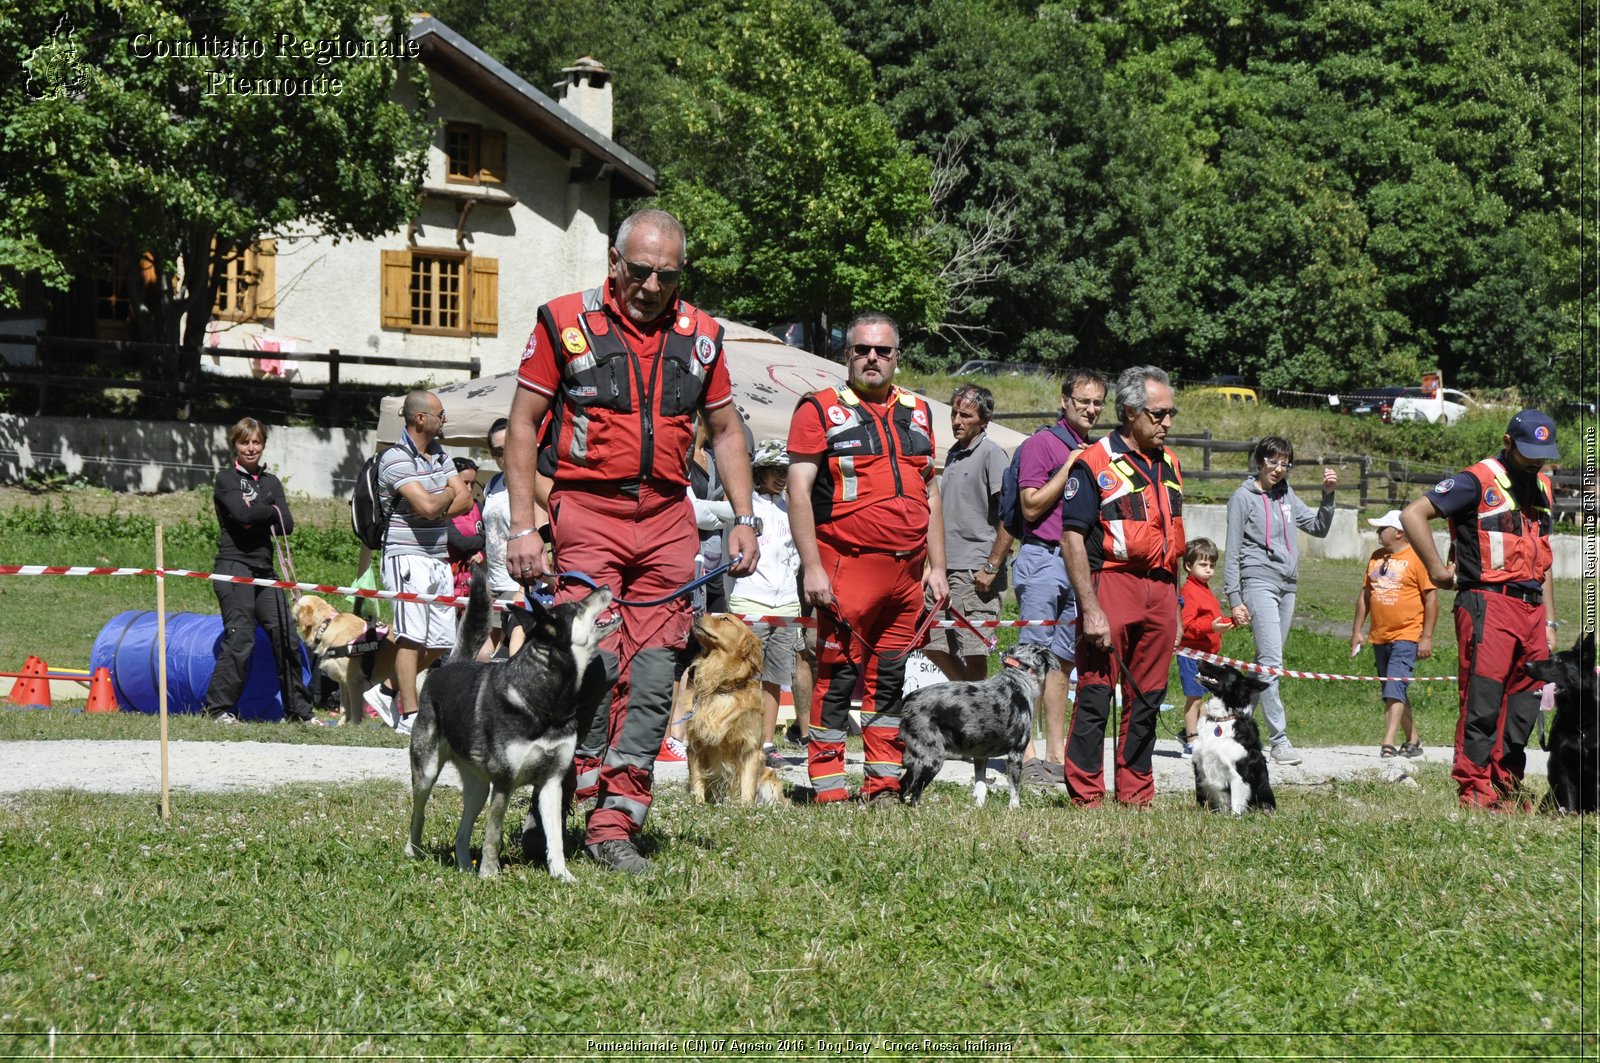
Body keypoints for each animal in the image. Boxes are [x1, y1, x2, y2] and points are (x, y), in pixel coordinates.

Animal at [296, 592, 406, 726]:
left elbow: (355, 707)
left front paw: (355, 725)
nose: (291, 600)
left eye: (296, 602)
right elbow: (344, 707)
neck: (327, 625)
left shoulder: (354, 680)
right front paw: (341, 724)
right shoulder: (343, 680)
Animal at [403, 573, 614, 877]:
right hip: (427, 772)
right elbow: (493, 834)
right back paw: (413, 851)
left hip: (479, 789)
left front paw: (562, 875)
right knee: (417, 813)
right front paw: (490, 874)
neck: (543, 702)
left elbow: (555, 838)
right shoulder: (504, 782)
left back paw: (465, 867)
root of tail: (449, 664)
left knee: (461, 832)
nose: (606, 587)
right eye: (578, 606)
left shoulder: (552, 783)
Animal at [688, 614, 780, 806]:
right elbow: (697, 779)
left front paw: (745, 808)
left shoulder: (750, 748)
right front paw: (698, 804)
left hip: (770, 780)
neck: (722, 687)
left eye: (725, 619)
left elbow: (747, 784)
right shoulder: (695, 744)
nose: (696, 613)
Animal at [1196, 659, 1280, 816]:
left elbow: (1236, 804)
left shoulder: (1238, 774)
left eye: (1223, 668)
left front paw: (1234, 818)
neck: (1221, 719)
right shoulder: (1199, 767)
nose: (1198, 660)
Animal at [1523, 630, 1600, 813]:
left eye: (1559, 661)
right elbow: (1568, 801)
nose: (1526, 664)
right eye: (1550, 657)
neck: (1581, 726)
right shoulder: (1560, 767)